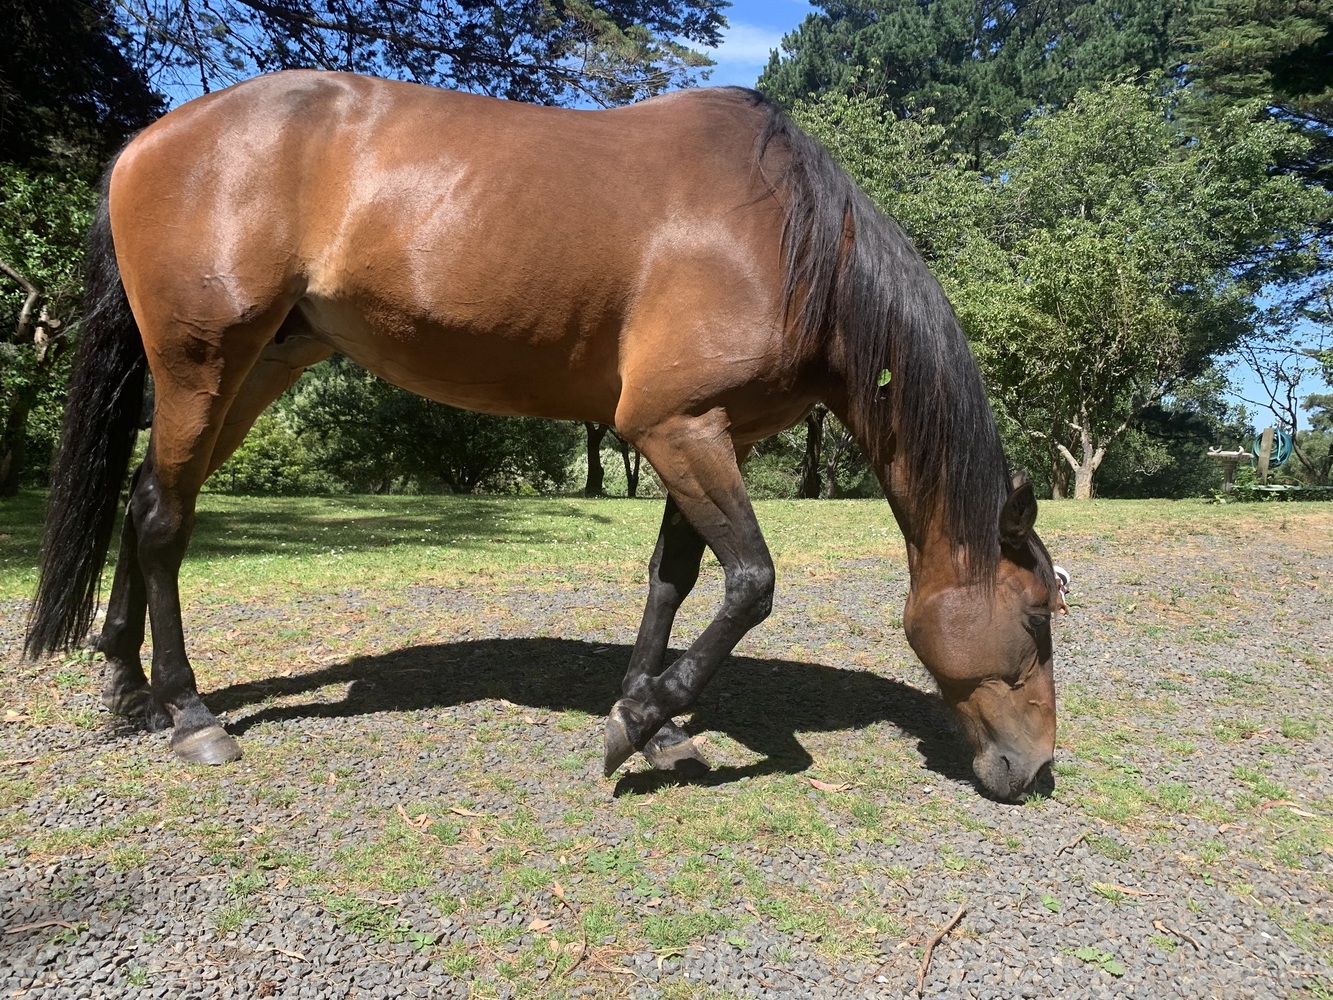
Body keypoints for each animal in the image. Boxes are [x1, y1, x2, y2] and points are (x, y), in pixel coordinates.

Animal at [25, 71, 1060, 801]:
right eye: (1037, 617)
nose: (1036, 767)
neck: (792, 242)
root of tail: (148, 142)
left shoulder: (702, 435)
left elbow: (675, 581)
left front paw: (653, 721)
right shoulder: (674, 427)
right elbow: (751, 584)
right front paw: (640, 719)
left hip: (253, 369)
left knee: (153, 500)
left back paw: (128, 689)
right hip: (202, 363)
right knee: (163, 519)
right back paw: (189, 713)